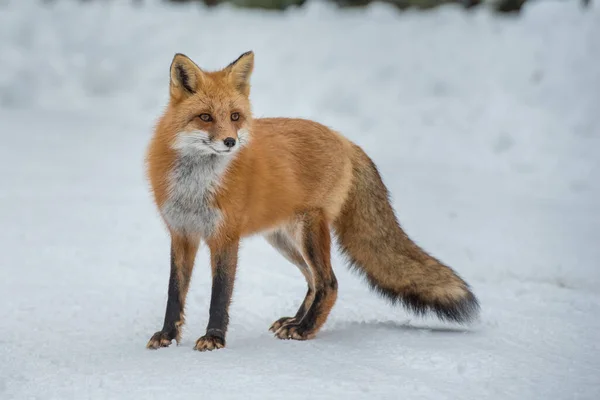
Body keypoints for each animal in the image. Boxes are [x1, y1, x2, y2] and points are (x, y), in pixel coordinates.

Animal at [145, 51, 478, 352]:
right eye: (205, 117)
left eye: (235, 117)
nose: (230, 142)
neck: (195, 186)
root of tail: (345, 139)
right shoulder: (182, 234)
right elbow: (174, 292)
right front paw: (167, 336)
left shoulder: (224, 237)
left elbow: (220, 295)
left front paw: (214, 338)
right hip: (283, 238)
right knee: (313, 281)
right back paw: (295, 321)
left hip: (308, 231)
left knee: (329, 283)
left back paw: (304, 330)